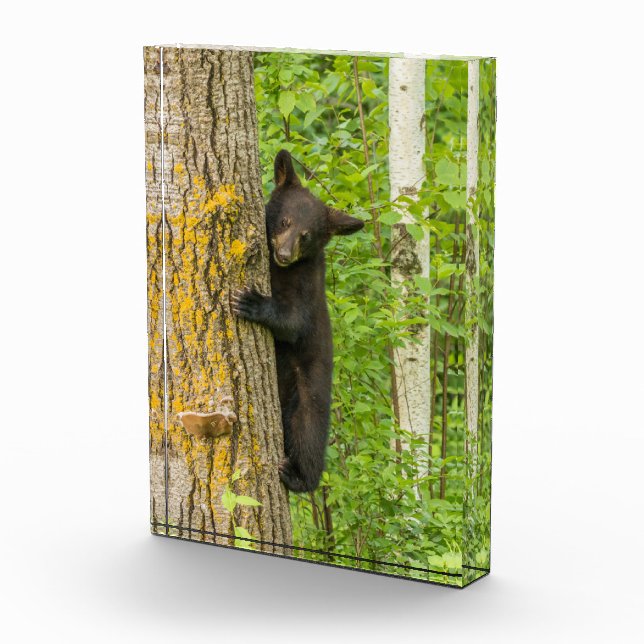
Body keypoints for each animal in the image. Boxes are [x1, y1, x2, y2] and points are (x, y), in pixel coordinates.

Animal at [232, 149, 364, 493]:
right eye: (285, 221)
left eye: (306, 236)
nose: (284, 253)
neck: (280, 270)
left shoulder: (307, 285)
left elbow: (293, 322)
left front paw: (251, 302)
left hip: (309, 393)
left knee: (307, 435)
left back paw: (297, 475)